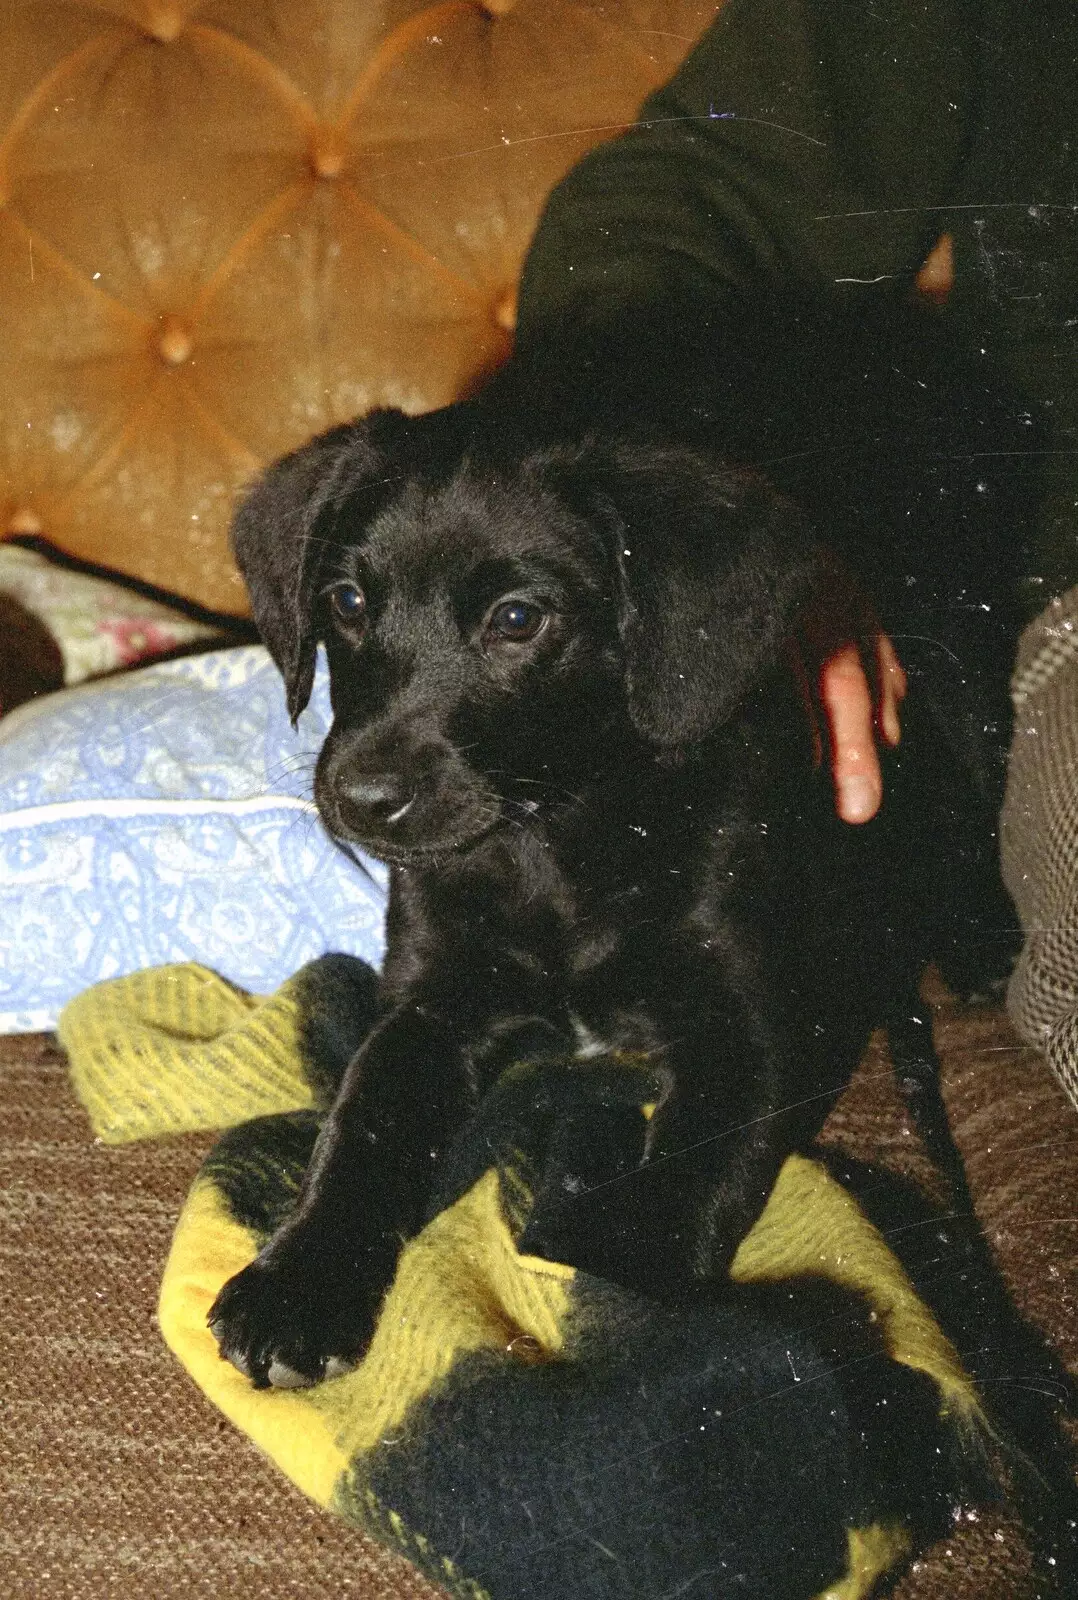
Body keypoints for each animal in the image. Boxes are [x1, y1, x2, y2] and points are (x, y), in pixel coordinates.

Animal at [207, 297, 1023, 1388]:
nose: (360, 800)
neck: (557, 832)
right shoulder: (433, 999)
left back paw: (980, 940)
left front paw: (622, 1320)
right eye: (346, 602)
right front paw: (301, 1279)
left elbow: (686, 1174)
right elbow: (363, 1119)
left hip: (947, 701)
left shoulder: (757, 1023)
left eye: (517, 619)